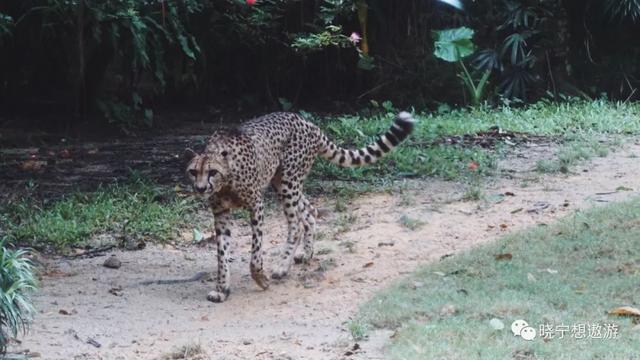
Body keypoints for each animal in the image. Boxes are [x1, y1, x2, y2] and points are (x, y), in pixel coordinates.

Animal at [186, 111, 416, 302]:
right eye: (193, 172)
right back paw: (306, 254)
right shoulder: (221, 213)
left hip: (289, 182)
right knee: (310, 211)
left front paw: (261, 279)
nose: (200, 188)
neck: (225, 183)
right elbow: (222, 255)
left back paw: (282, 267)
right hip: (281, 183)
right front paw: (222, 289)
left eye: (212, 172)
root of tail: (305, 121)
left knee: (295, 224)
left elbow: (255, 253)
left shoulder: (256, 206)